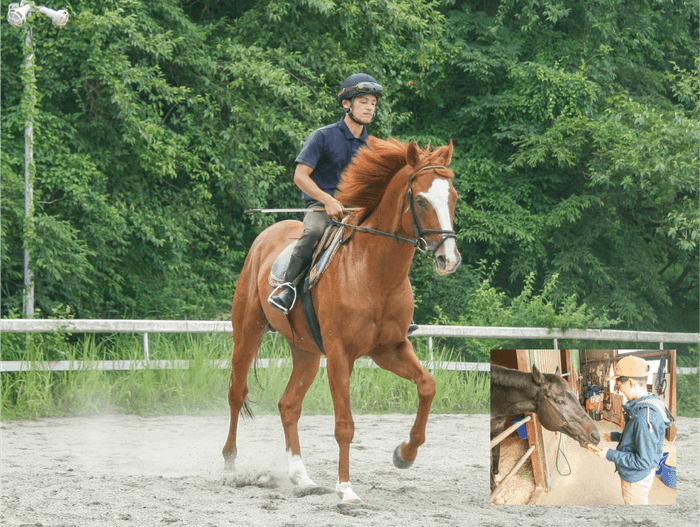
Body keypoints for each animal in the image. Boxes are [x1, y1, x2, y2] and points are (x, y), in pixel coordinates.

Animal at [222, 136, 461, 503]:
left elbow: (427, 385)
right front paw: (346, 489)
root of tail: (269, 234)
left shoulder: (389, 348)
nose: (449, 259)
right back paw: (231, 466)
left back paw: (301, 478)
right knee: (237, 393)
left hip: (305, 351)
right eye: (420, 200)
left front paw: (404, 454)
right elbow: (344, 424)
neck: (373, 271)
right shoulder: (339, 354)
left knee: (288, 405)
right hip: (247, 332)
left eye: (453, 198)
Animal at [490, 364, 600, 493]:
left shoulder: (498, 429)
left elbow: (496, 453)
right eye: (560, 401)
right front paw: (495, 490)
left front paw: (497, 478)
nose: (595, 435)